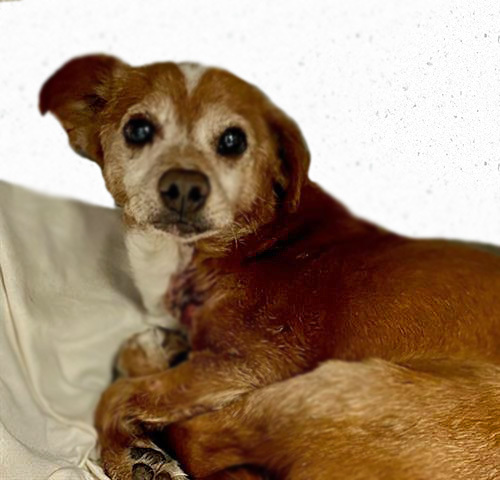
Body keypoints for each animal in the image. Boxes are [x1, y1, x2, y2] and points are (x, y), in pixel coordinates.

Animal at [40, 54, 500, 478]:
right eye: (138, 129)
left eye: (233, 140)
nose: (184, 187)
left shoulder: (250, 362)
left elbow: (118, 395)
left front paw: (125, 456)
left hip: (329, 390)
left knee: (199, 439)